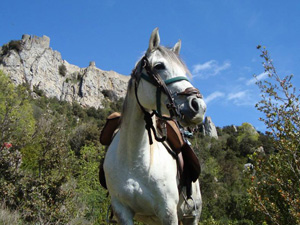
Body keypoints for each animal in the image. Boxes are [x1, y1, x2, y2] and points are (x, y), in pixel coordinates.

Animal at [103, 28, 206, 225]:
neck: (134, 159)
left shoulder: (168, 213)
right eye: (159, 66)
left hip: (192, 216)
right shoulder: (123, 211)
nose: (198, 106)